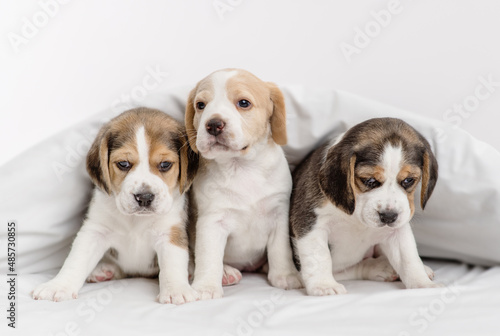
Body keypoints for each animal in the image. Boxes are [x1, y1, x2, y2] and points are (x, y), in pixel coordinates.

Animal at [30, 107, 199, 304]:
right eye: (123, 164)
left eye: (165, 164)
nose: (144, 197)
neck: (135, 220)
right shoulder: (95, 231)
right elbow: (75, 260)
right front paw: (58, 286)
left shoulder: (169, 232)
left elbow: (173, 265)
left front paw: (176, 290)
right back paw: (105, 270)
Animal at [184, 68, 300, 300]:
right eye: (201, 105)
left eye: (243, 103)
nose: (213, 124)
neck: (241, 168)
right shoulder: (212, 222)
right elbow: (208, 257)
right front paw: (206, 286)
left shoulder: (279, 215)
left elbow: (280, 250)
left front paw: (285, 275)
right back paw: (225, 273)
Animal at [290, 117, 442, 296]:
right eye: (369, 180)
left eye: (408, 180)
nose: (389, 216)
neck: (356, 217)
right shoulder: (311, 222)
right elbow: (319, 256)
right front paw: (324, 286)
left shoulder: (397, 231)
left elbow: (409, 258)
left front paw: (423, 285)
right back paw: (381, 267)